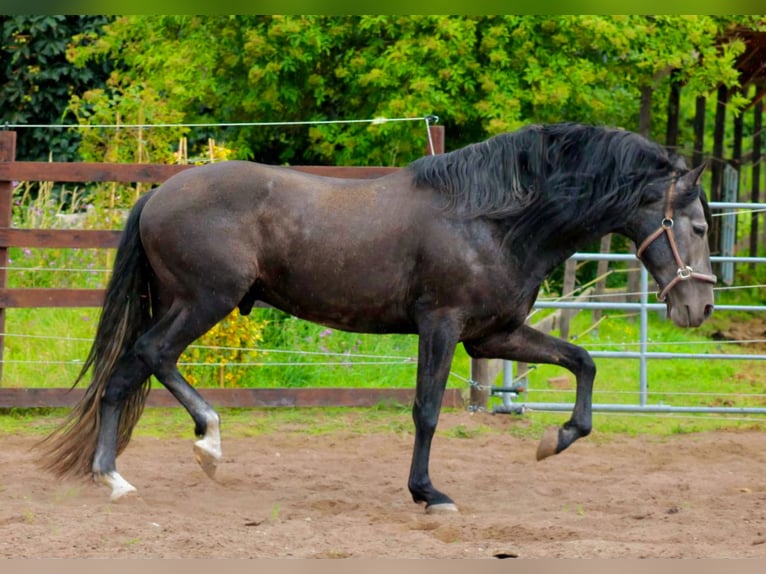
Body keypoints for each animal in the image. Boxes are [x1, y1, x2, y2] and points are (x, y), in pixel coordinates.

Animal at [37, 121, 720, 512]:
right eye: (694, 225)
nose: (701, 306)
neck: (492, 219)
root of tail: (157, 194)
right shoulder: (442, 326)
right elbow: (427, 411)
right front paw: (427, 493)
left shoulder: (491, 336)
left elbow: (583, 361)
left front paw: (556, 440)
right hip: (204, 301)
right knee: (152, 358)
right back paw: (203, 443)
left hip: (184, 304)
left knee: (125, 376)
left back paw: (114, 477)